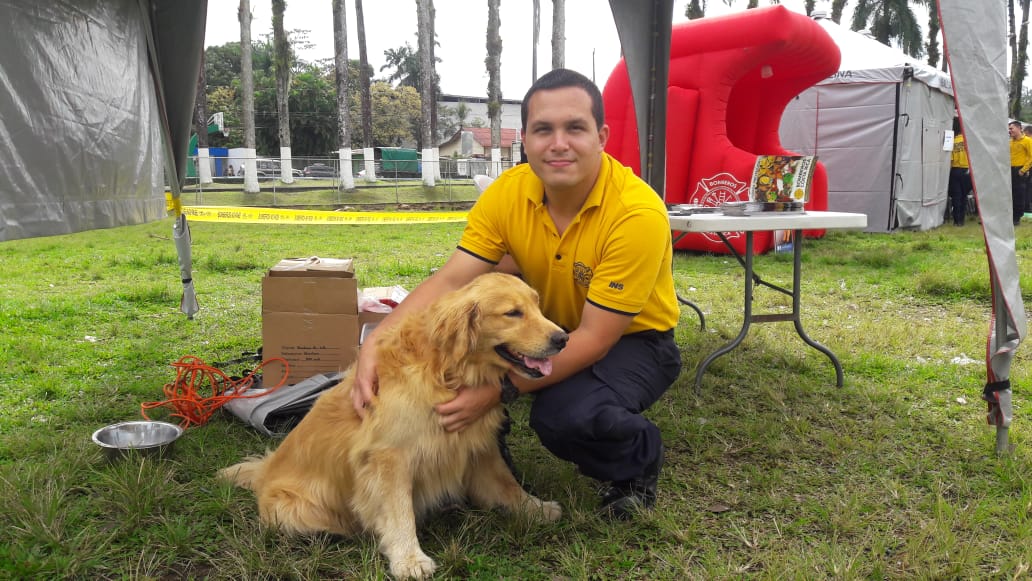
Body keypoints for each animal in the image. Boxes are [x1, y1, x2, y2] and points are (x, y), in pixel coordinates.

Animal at [220, 274, 569, 581]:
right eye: (513, 312)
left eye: (536, 306)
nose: (563, 339)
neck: (446, 371)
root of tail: (265, 471)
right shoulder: (390, 457)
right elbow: (399, 511)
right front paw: (409, 559)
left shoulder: (476, 443)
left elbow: (506, 483)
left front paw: (534, 508)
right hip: (297, 508)